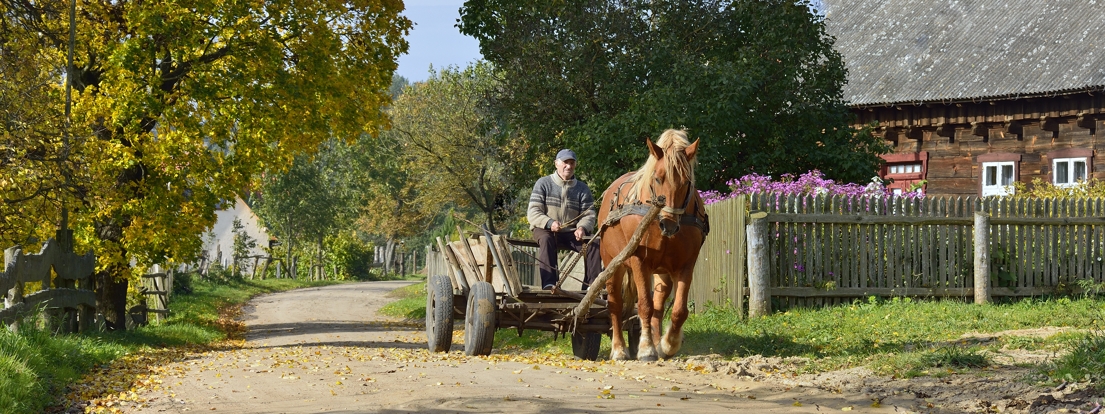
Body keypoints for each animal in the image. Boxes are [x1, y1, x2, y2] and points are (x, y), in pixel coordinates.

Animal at [596, 129, 707, 362]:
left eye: (686, 182)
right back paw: (619, 349)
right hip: (612, 265)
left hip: (662, 272)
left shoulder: (686, 265)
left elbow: (678, 310)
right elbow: (644, 306)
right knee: (615, 304)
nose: (669, 224)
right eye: (657, 178)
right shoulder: (639, 261)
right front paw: (646, 348)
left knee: (658, 304)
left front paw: (667, 344)